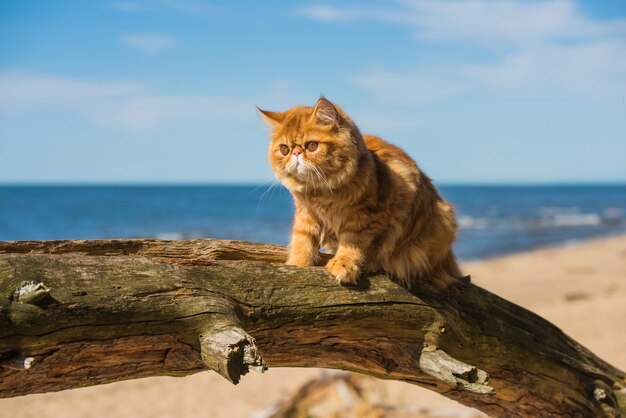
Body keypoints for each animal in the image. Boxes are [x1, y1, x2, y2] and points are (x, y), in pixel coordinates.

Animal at [256, 97, 460, 290]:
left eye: (312, 145)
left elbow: (351, 243)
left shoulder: (364, 217)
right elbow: (302, 241)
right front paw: (296, 266)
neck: (322, 191)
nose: (296, 153)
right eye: (284, 149)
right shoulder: (306, 215)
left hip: (440, 221)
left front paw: (344, 265)